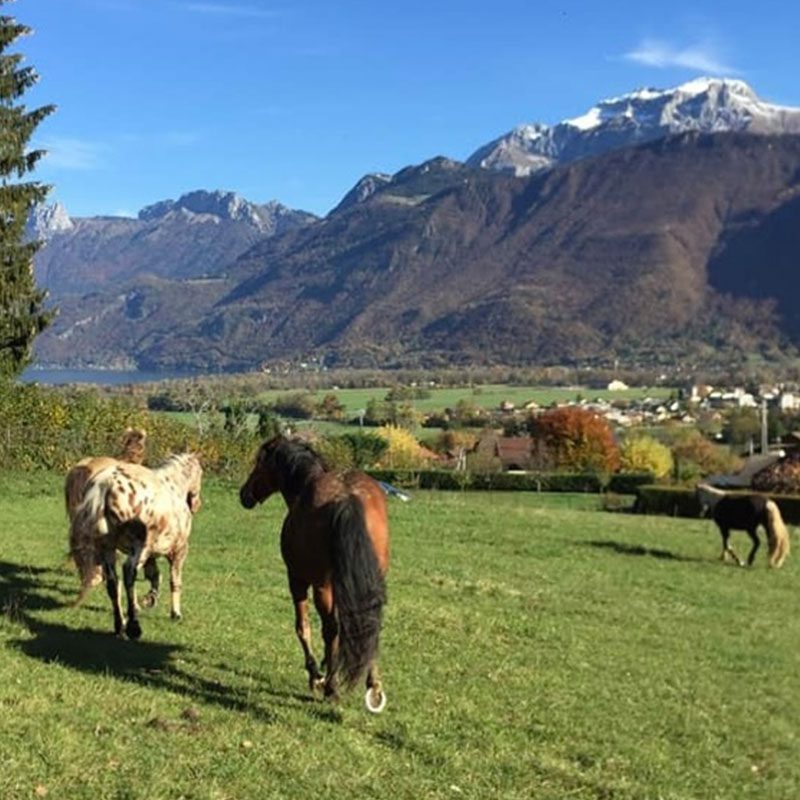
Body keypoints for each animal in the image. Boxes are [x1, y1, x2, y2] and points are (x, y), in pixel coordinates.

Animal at [70, 453, 203, 639]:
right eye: (201, 473)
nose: (197, 505)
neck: (173, 486)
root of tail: (104, 485)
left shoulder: (151, 554)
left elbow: (155, 576)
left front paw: (150, 599)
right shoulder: (178, 551)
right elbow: (174, 581)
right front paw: (175, 613)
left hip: (108, 550)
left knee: (113, 583)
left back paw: (120, 626)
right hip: (139, 549)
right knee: (128, 573)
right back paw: (133, 626)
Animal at [239, 435, 390, 713]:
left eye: (259, 463)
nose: (244, 494)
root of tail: (346, 499)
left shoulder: (296, 580)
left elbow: (303, 627)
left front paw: (316, 675)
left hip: (322, 586)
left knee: (330, 628)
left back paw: (331, 687)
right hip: (369, 582)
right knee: (368, 621)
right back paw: (372, 685)